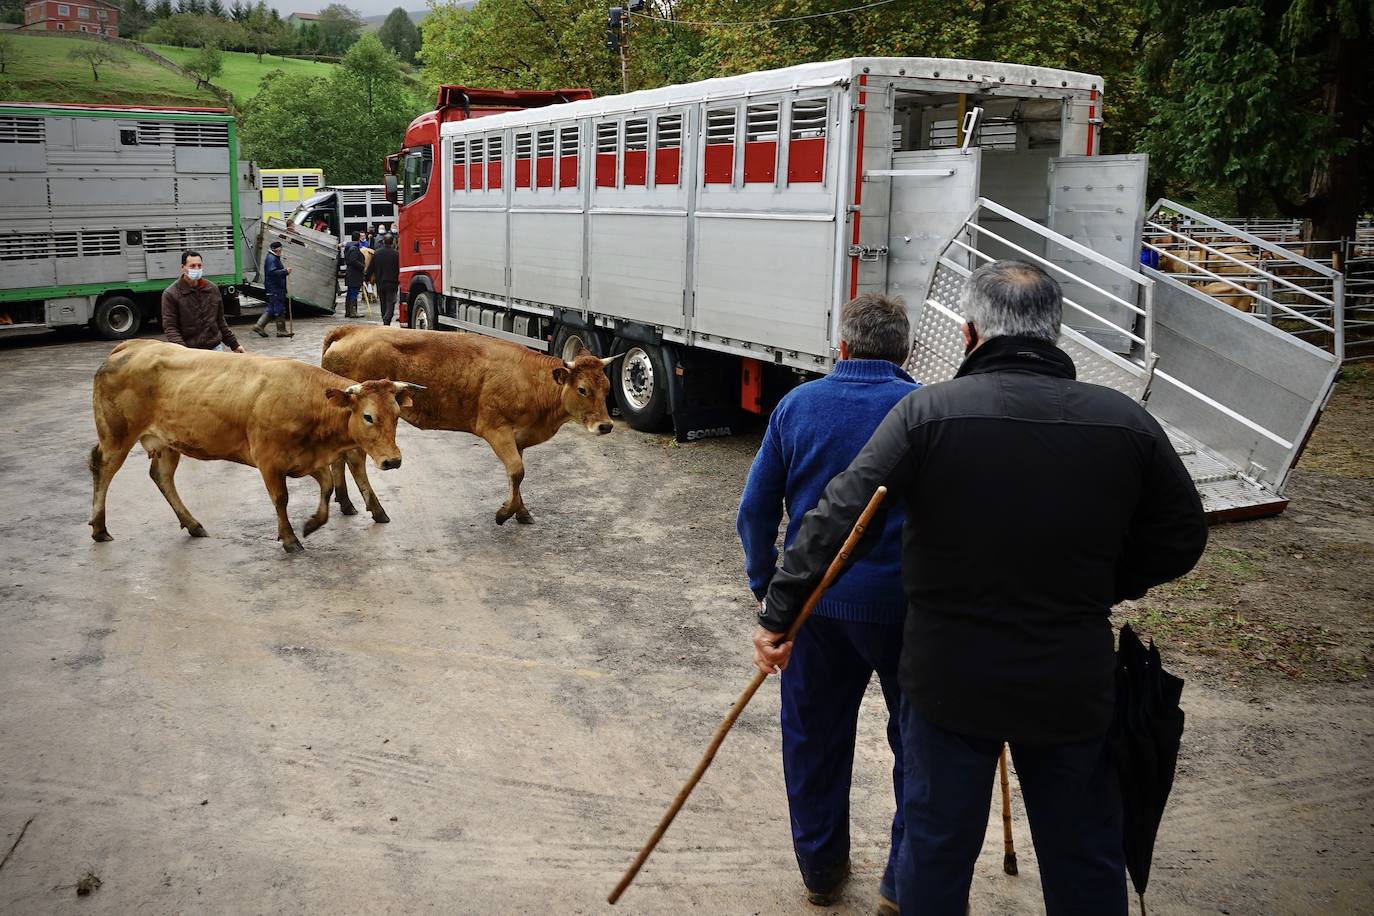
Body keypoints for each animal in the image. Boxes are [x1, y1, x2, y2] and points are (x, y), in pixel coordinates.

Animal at [88, 339, 420, 549]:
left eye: (397, 414)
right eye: (367, 416)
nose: (393, 460)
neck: (307, 401)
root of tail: (131, 347)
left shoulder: (307, 458)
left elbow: (326, 486)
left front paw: (313, 523)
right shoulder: (269, 461)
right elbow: (281, 499)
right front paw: (290, 539)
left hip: (168, 442)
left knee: (162, 477)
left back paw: (193, 524)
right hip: (116, 437)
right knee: (103, 470)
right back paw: (100, 528)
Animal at [318, 325, 621, 527]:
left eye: (607, 387)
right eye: (582, 389)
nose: (606, 425)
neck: (530, 380)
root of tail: (351, 330)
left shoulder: (518, 438)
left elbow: (516, 475)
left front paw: (521, 511)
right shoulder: (496, 429)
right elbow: (517, 471)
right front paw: (504, 514)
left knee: (340, 457)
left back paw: (346, 503)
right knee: (355, 460)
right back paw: (377, 510)